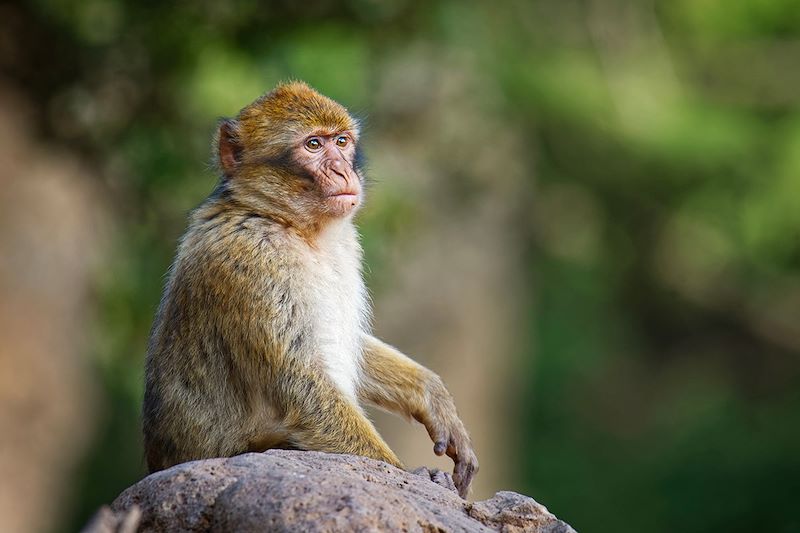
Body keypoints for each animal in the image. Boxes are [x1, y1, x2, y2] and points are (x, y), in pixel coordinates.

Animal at [141, 81, 478, 496]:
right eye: (314, 145)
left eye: (342, 141)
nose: (342, 169)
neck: (291, 225)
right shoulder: (252, 260)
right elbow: (303, 391)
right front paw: (407, 474)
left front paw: (431, 395)